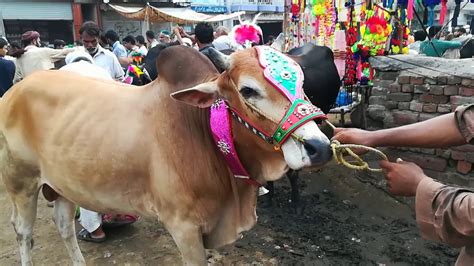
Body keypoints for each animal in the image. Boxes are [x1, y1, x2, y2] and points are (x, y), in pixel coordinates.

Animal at [0, 45, 332, 264]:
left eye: (301, 82)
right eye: (248, 90)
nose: (321, 147)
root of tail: (17, 90)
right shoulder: (183, 227)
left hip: (63, 184)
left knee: (64, 226)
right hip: (22, 184)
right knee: (23, 232)